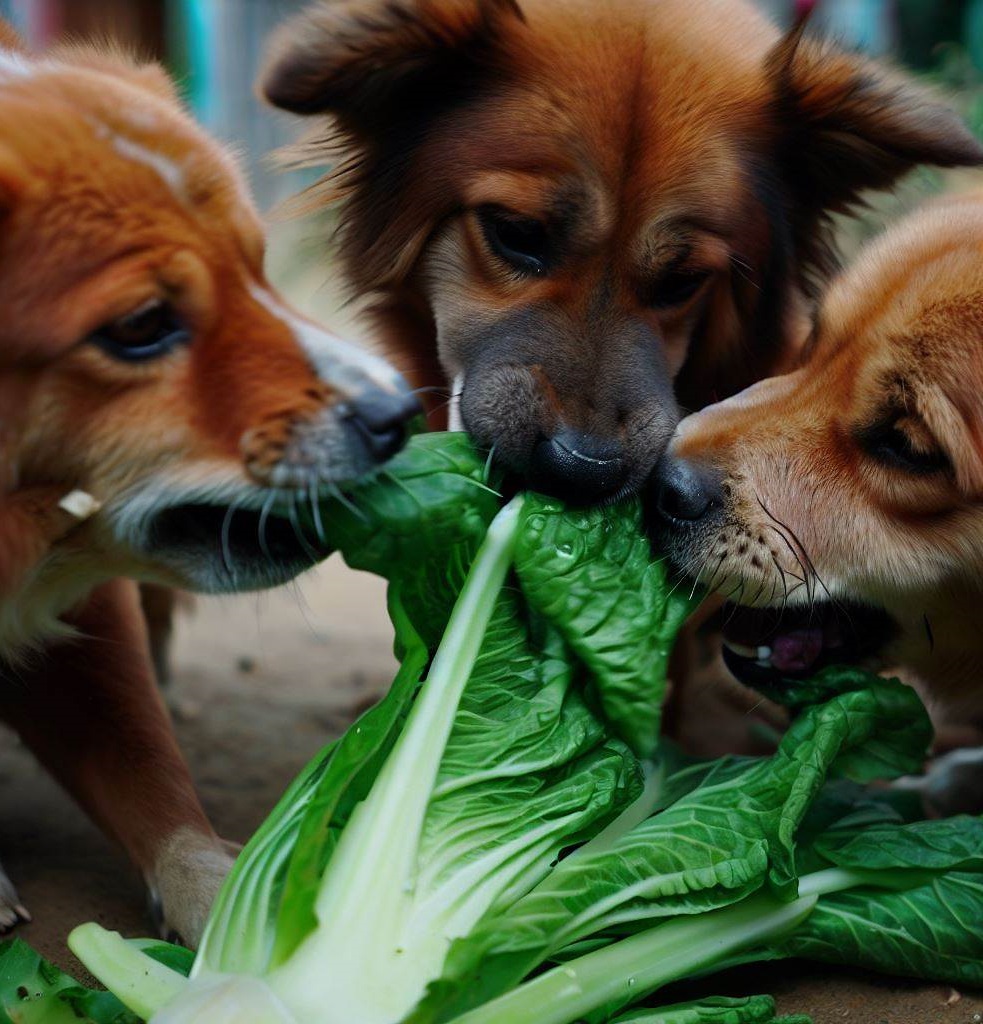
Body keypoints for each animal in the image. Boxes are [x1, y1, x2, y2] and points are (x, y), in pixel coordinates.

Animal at [0, 24, 417, 937]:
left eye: (258, 272)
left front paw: (229, 918)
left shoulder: (84, 609)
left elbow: (148, 772)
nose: (399, 412)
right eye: (142, 326)